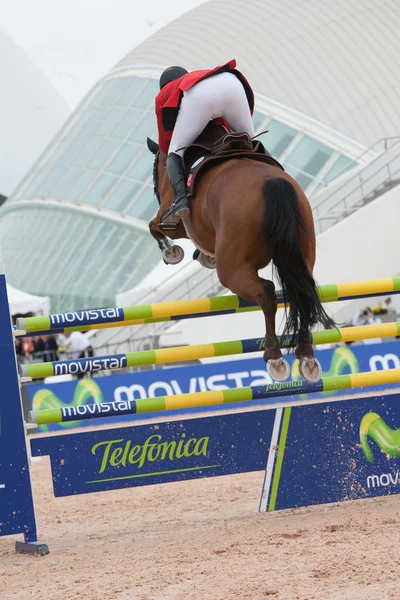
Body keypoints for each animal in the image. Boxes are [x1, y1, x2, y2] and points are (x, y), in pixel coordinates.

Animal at [145, 123, 332, 382]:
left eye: (154, 172)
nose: (155, 190)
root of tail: (272, 182)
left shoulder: (174, 220)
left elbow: (154, 226)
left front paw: (172, 252)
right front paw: (203, 256)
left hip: (233, 269)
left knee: (266, 293)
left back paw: (274, 356)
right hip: (301, 253)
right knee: (302, 292)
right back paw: (306, 356)